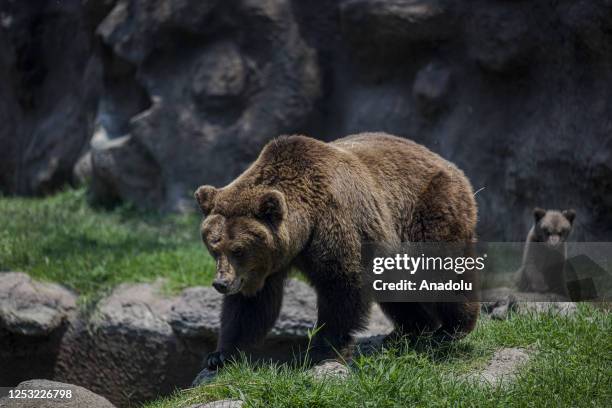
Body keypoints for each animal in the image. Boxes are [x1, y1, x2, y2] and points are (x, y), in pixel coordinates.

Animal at [195, 132, 478, 368]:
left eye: (238, 249)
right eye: (214, 247)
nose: (221, 283)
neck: (304, 227)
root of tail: (447, 163)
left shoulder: (334, 223)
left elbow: (341, 286)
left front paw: (321, 350)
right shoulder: (268, 264)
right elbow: (250, 306)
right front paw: (220, 354)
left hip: (428, 211)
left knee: (440, 271)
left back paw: (451, 329)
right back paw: (407, 331)